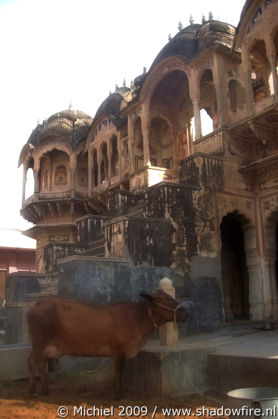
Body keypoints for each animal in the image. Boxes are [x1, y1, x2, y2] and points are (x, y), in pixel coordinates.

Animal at [27, 290, 187, 398]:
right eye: (168, 299)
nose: (186, 313)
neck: (138, 317)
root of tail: (37, 304)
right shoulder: (118, 351)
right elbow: (118, 372)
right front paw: (118, 395)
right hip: (38, 343)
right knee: (32, 362)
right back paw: (32, 392)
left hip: (43, 347)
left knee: (41, 364)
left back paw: (45, 390)